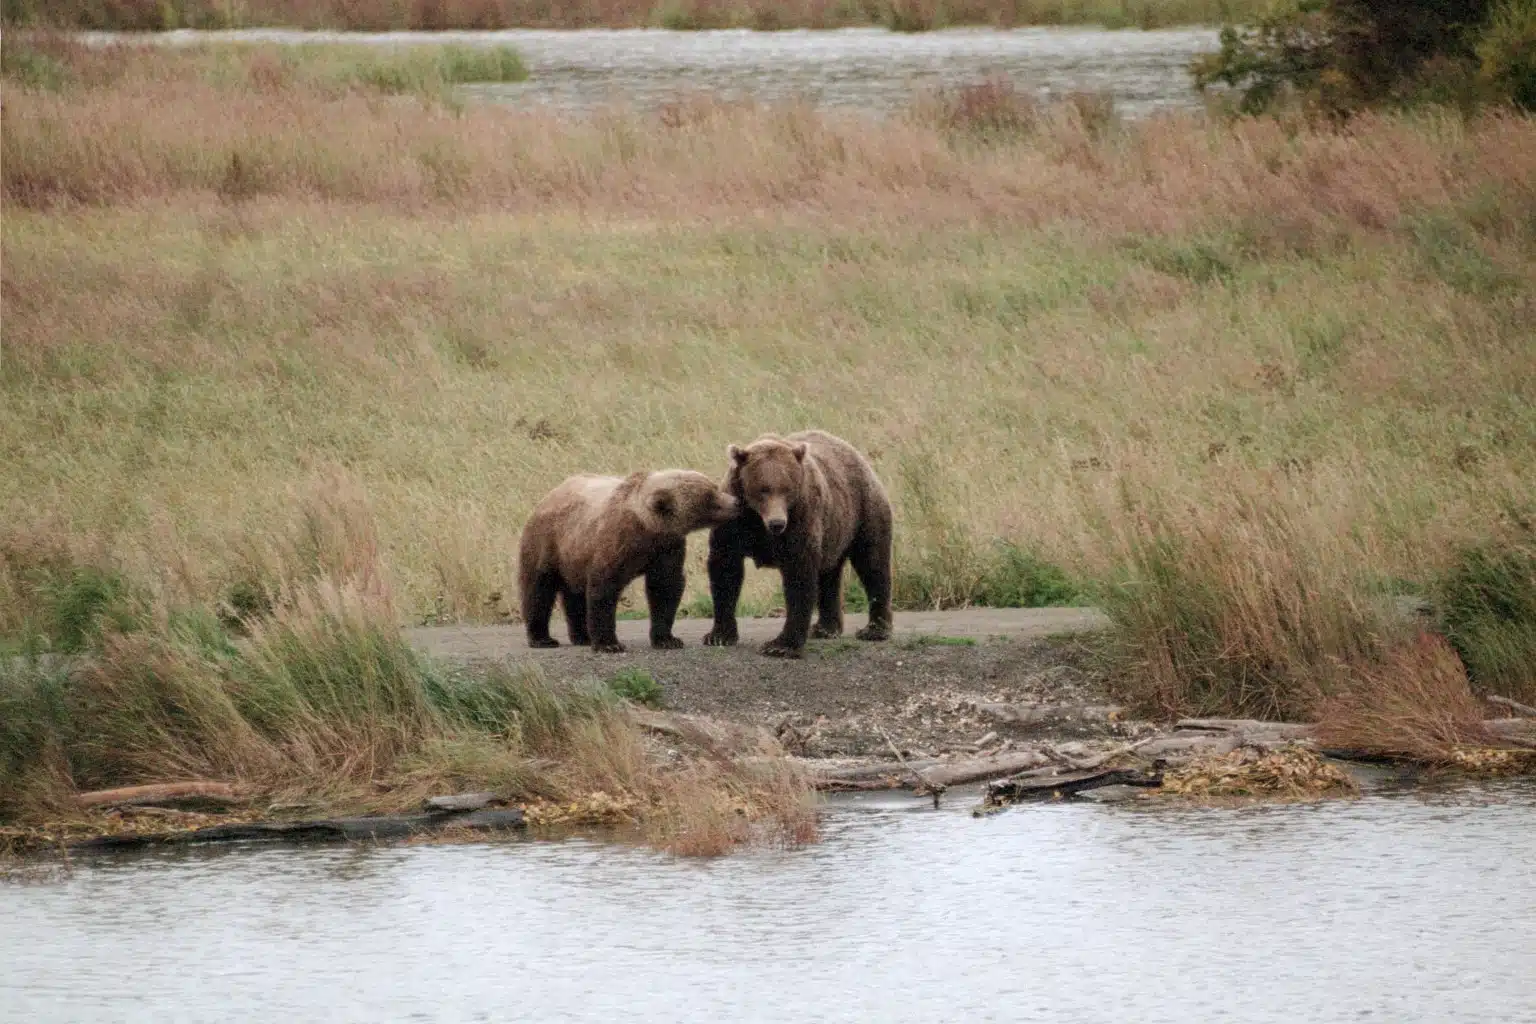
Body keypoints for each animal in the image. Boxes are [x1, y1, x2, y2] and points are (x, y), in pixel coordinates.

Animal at [518, 470, 739, 654]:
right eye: (709, 496)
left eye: (713, 486)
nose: (736, 502)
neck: (646, 527)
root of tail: (550, 494)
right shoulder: (615, 544)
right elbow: (603, 590)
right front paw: (609, 644)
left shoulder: (667, 547)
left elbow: (666, 587)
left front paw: (668, 639)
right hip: (547, 544)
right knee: (538, 590)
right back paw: (542, 639)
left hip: (574, 556)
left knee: (574, 595)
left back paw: (582, 636)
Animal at [702, 430, 893, 659]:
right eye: (763, 489)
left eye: (787, 489)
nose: (777, 523)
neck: (757, 521)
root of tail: (855, 454)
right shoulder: (734, 521)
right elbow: (725, 569)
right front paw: (718, 635)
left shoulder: (800, 517)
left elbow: (799, 575)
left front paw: (780, 645)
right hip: (833, 530)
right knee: (828, 576)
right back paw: (825, 628)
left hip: (863, 511)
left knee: (872, 563)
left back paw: (875, 629)